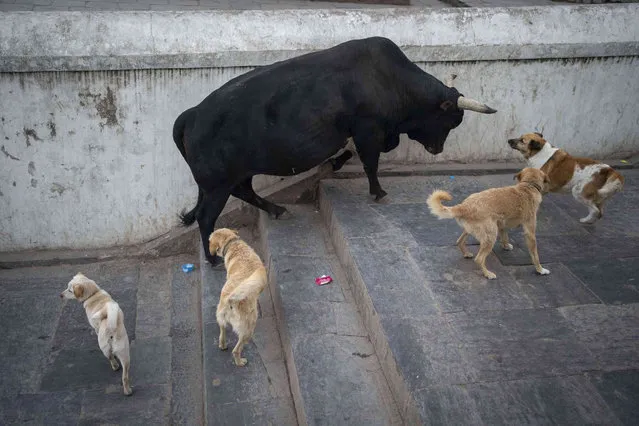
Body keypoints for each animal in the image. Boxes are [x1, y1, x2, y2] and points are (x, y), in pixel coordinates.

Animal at [172, 36, 498, 264]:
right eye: (451, 119)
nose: (437, 149)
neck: (391, 80)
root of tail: (191, 114)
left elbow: (364, 151)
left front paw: (334, 163)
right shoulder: (369, 130)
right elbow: (371, 162)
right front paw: (377, 191)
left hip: (234, 177)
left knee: (244, 192)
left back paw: (277, 209)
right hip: (217, 186)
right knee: (206, 217)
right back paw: (212, 259)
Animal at [210, 230, 268, 366]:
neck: (234, 244)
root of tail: (229, 301)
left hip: (220, 317)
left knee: (222, 332)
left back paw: (222, 345)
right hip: (248, 329)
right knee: (236, 350)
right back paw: (240, 362)